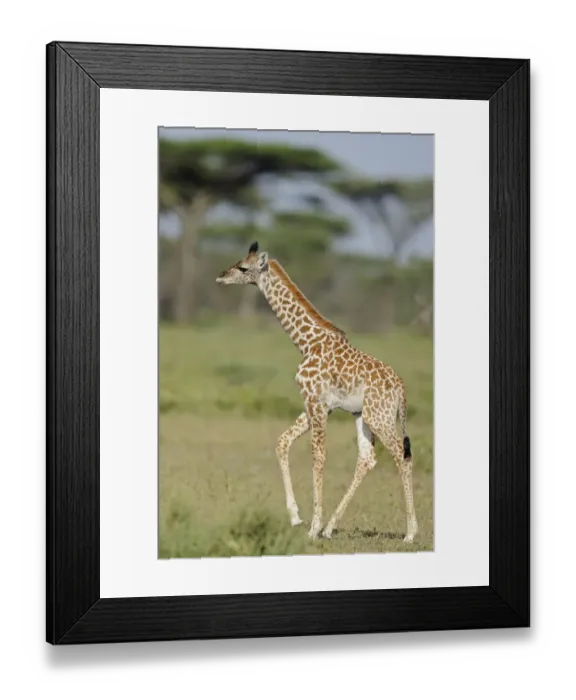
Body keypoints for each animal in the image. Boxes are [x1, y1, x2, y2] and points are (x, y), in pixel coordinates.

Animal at [215, 242, 418, 543]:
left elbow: (318, 456)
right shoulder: (318, 405)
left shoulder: (316, 402)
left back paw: (410, 533)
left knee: (402, 456)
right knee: (368, 458)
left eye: (243, 268)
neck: (307, 343)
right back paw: (331, 527)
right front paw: (297, 517)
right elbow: (282, 442)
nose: (220, 276)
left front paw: (312, 527)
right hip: (363, 415)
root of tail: (401, 388)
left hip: (379, 417)